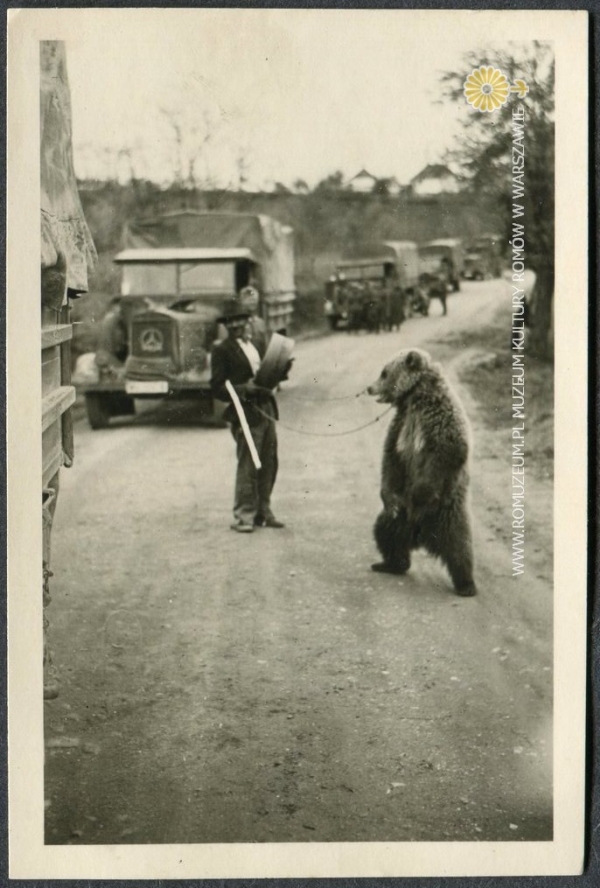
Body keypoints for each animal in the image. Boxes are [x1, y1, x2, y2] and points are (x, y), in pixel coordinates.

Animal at [366, 346, 478, 596]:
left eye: (384, 373)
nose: (369, 387)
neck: (414, 396)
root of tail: (421, 534)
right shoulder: (401, 423)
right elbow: (391, 458)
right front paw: (385, 493)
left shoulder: (439, 418)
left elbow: (450, 449)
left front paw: (420, 492)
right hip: (400, 516)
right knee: (386, 529)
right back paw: (389, 563)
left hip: (447, 511)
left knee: (459, 546)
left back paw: (466, 584)